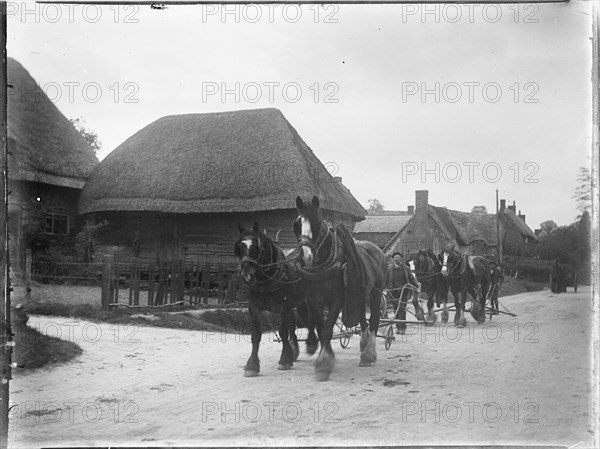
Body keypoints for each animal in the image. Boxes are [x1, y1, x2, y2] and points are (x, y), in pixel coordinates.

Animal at [233, 222, 318, 376]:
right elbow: (256, 335)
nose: (246, 274)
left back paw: (312, 344)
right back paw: (294, 351)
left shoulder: (284, 306)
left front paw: (284, 360)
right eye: (240, 246)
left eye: (256, 246)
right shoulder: (254, 307)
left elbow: (283, 332)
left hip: (309, 298)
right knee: (294, 324)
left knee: (311, 318)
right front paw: (252, 365)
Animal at [292, 194, 386, 380]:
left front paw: (324, 364)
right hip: (359, 292)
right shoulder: (313, 301)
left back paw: (369, 354)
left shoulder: (337, 301)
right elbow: (321, 329)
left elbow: (327, 330)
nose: (305, 256)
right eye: (297, 224)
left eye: (316, 222)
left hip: (376, 292)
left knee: (374, 320)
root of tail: (376, 249)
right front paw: (323, 353)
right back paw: (364, 346)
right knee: (363, 320)